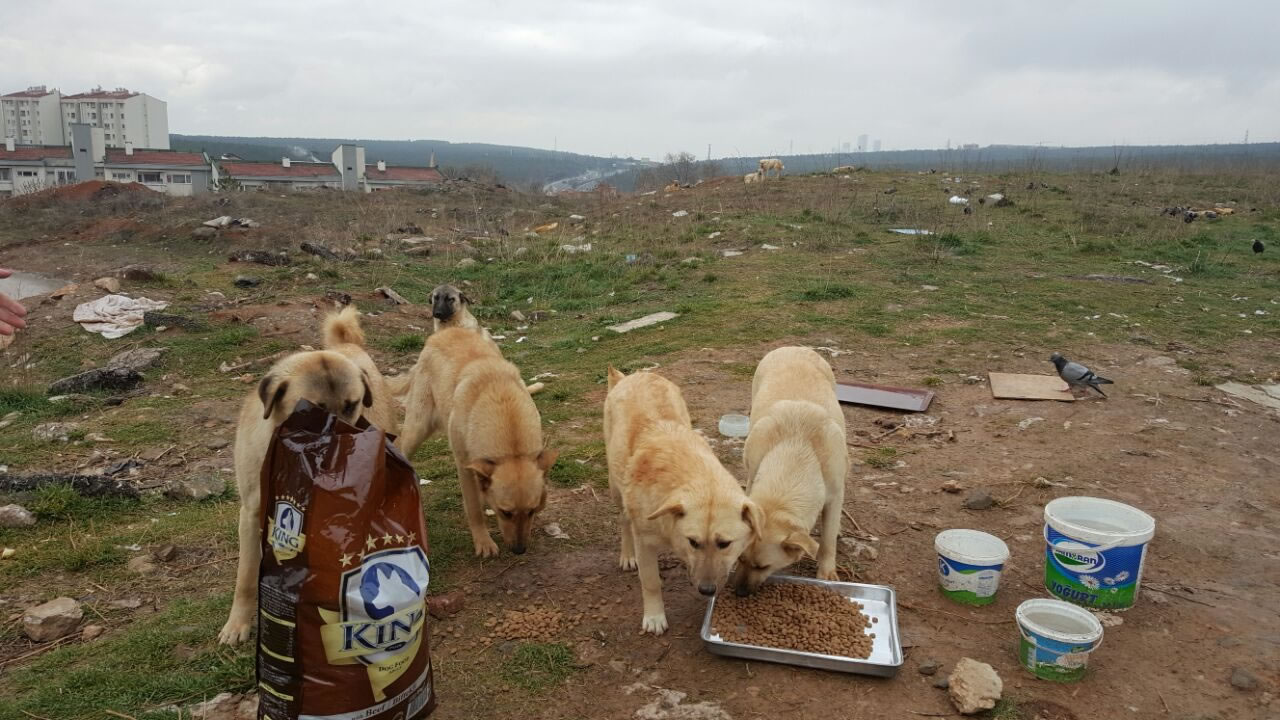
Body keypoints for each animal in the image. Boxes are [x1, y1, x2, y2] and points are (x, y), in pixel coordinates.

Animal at [218, 304, 394, 640]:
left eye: (351, 405)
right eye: (313, 411)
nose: (347, 447)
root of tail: (345, 345)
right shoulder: (252, 514)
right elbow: (246, 576)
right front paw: (238, 624)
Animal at [394, 325, 555, 556]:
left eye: (532, 511)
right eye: (505, 513)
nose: (519, 550)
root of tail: (444, 331)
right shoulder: (465, 467)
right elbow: (474, 508)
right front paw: (483, 541)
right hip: (417, 430)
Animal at [601, 366, 757, 630]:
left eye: (725, 544)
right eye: (693, 541)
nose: (707, 590)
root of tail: (635, 375)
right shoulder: (644, 541)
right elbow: (650, 581)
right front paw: (654, 616)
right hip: (616, 488)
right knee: (623, 521)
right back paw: (627, 555)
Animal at [732, 345, 849, 591]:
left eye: (763, 567)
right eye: (740, 559)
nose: (738, 592)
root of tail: (793, 347)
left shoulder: (835, 495)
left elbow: (827, 540)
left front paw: (826, 572)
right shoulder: (753, 474)